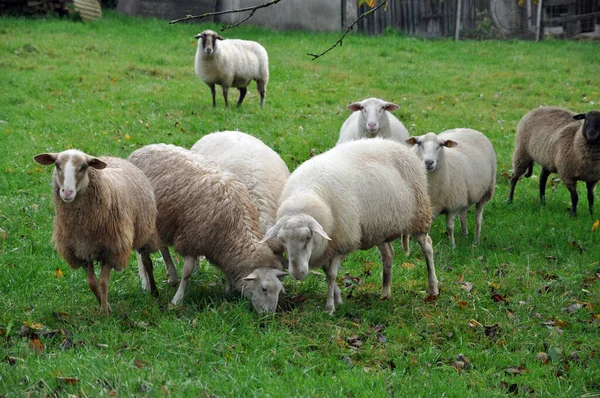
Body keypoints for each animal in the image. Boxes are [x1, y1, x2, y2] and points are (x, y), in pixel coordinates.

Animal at [33, 149, 159, 314]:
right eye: (57, 165)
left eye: (84, 166)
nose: (67, 192)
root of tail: (112, 157)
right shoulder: (82, 251)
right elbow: (93, 284)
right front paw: (105, 305)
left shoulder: (112, 250)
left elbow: (103, 283)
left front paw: (104, 312)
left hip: (145, 231)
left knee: (147, 262)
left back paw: (154, 292)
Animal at [126, 143, 286, 314]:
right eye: (264, 289)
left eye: (279, 290)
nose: (268, 316)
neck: (234, 226)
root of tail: (141, 149)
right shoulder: (192, 238)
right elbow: (187, 273)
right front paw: (177, 300)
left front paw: (228, 290)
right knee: (140, 253)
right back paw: (145, 283)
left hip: (164, 220)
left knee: (162, 246)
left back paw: (171, 275)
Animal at [262, 137, 436, 314]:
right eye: (282, 240)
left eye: (308, 237)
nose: (297, 274)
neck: (304, 195)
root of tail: (393, 142)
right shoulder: (326, 247)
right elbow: (327, 273)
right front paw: (338, 300)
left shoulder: (342, 243)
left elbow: (331, 275)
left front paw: (329, 307)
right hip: (379, 227)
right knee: (388, 254)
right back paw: (385, 293)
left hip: (419, 215)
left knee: (427, 247)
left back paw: (432, 289)